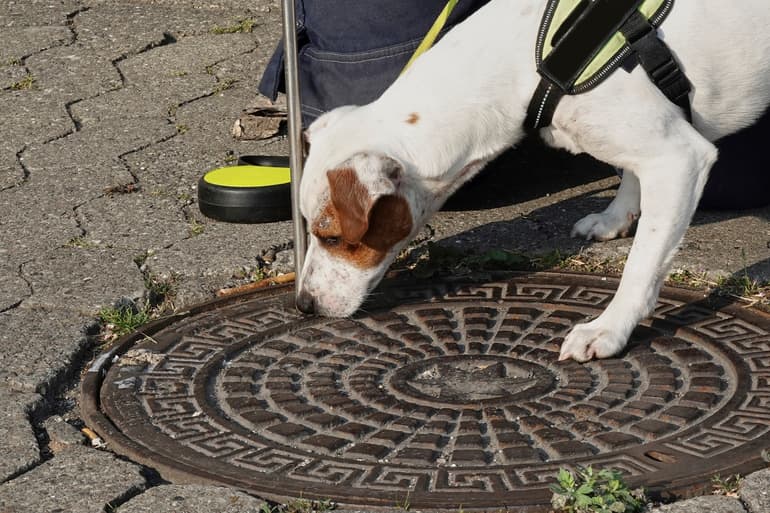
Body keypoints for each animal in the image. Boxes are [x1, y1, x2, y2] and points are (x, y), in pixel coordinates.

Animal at [294, 0, 768, 362]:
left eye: (333, 237)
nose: (303, 305)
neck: (526, 65)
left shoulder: (679, 159)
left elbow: (640, 267)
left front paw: (609, 329)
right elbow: (629, 173)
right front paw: (616, 216)